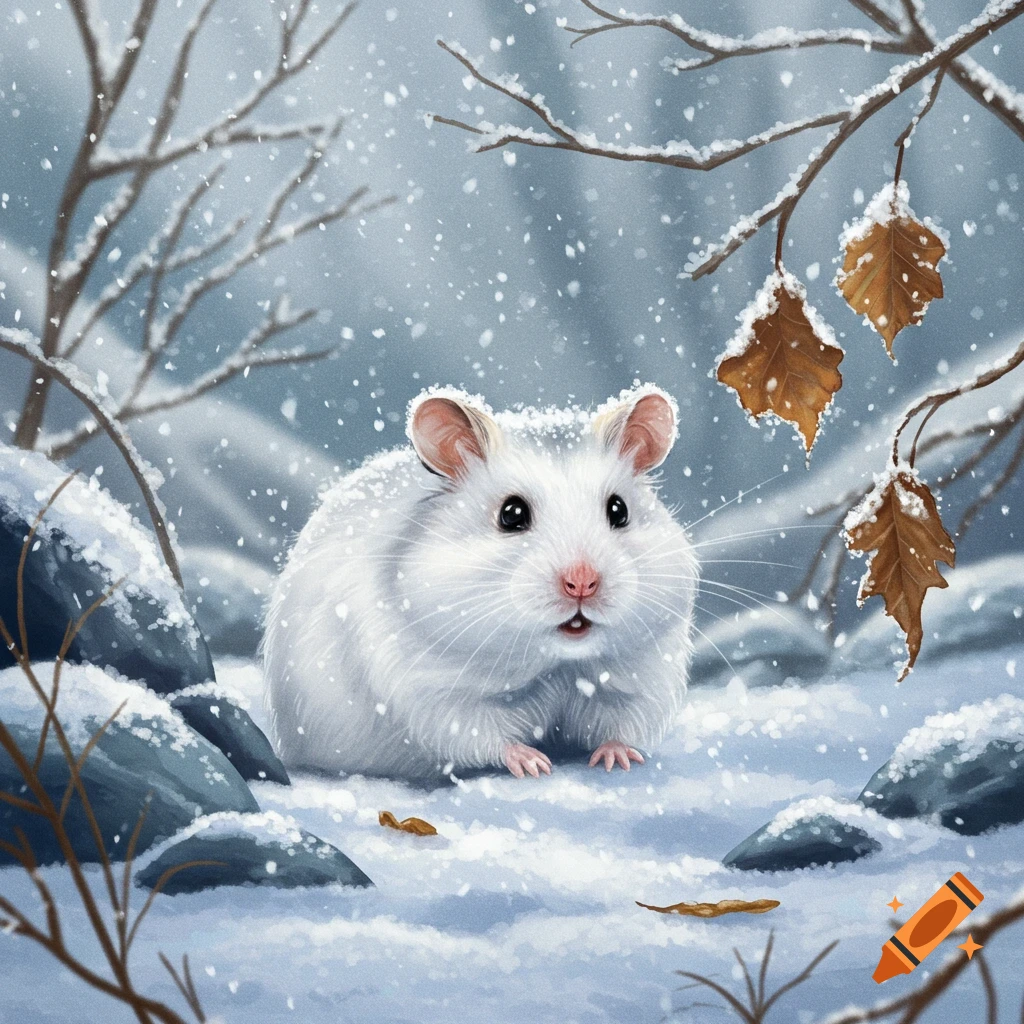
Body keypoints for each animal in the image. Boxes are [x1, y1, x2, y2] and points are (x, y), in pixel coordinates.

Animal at [262, 383, 696, 781]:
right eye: (512, 514)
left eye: (619, 510)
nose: (582, 583)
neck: (557, 665)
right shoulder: (429, 690)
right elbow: (479, 734)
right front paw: (535, 764)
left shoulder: (644, 677)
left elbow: (623, 724)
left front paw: (617, 759)